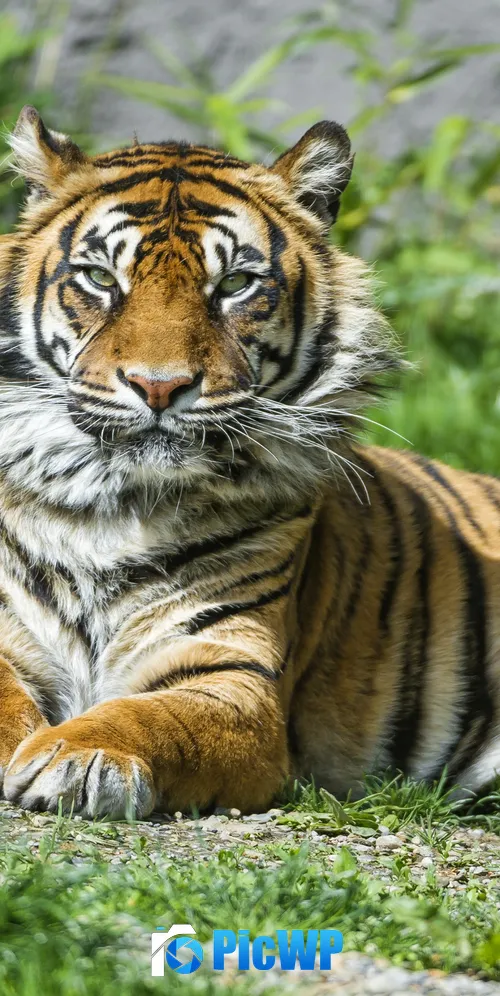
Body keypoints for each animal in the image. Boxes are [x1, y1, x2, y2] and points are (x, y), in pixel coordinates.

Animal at [0, 104, 498, 820]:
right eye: (99, 278)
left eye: (235, 284)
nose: (158, 386)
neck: (117, 506)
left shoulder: (234, 675)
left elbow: (153, 717)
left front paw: (79, 754)